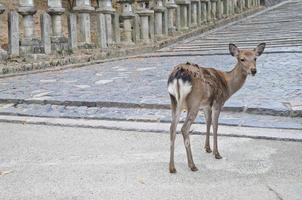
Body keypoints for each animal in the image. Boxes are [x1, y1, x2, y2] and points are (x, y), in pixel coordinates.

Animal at [169, 43, 266, 173]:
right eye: (242, 59)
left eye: (255, 58)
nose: (253, 70)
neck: (228, 85)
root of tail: (178, 74)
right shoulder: (218, 102)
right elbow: (215, 125)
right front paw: (217, 153)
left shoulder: (206, 105)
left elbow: (208, 122)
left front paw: (207, 148)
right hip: (193, 102)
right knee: (184, 128)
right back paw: (192, 165)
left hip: (174, 102)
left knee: (172, 128)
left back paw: (172, 167)